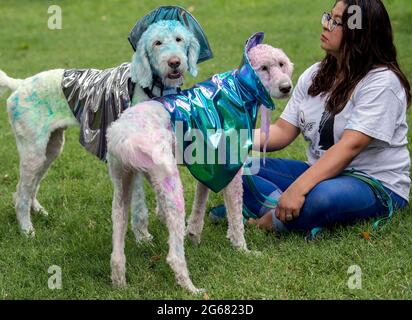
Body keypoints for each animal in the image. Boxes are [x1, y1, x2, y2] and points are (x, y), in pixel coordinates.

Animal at [105, 33, 292, 296]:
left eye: (282, 64)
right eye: (264, 68)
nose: (286, 88)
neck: (239, 89)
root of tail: (122, 136)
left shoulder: (210, 165)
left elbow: (200, 205)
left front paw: (193, 235)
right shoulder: (230, 169)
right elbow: (236, 218)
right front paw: (243, 250)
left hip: (122, 185)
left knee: (117, 249)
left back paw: (120, 283)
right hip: (170, 186)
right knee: (173, 255)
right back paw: (191, 288)